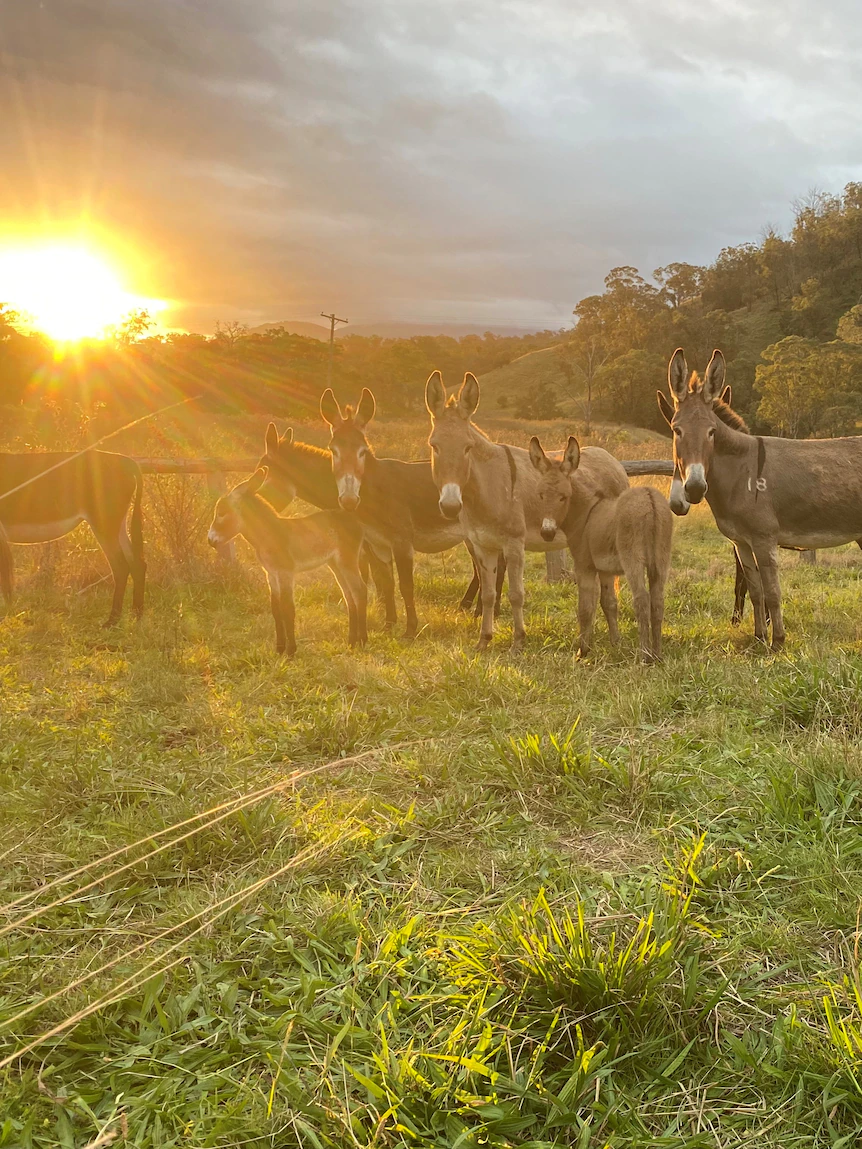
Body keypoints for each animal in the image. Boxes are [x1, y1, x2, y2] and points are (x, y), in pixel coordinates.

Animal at [212, 466, 372, 657]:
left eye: (221, 513)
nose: (210, 540)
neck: (269, 534)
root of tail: (354, 520)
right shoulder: (271, 574)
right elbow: (276, 609)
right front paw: (279, 649)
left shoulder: (286, 572)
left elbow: (287, 608)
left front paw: (290, 651)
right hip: (335, 564)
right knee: (349, 596)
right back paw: (351, 642)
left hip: (347, 560)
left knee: (359, 591)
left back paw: (362, 640)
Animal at [533, 434, 675, 661]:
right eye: (540, 495)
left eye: (564, 497)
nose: (547, 533)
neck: (587, 513)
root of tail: (648, 497)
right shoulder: (606, 569)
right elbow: (609, 603)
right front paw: (616, 643)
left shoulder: (584, 566)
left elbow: (585, 608)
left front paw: (582, 652)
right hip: (661, 558)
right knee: (658, 599)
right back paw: (657, 653)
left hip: (632, 558)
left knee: (641, 598)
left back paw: (644, 655)